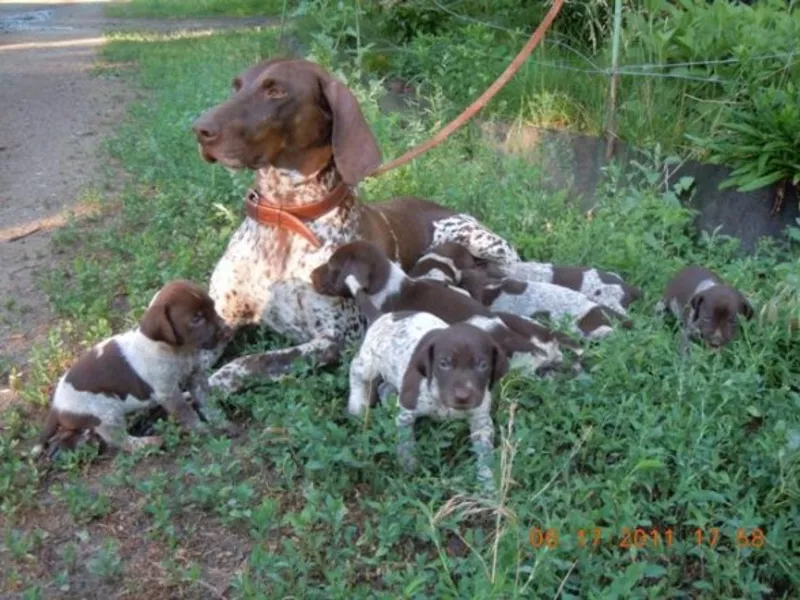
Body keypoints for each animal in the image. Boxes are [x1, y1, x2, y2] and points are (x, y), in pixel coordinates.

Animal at [348, 312, 510, 490]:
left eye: (483, 365)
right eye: (444, 364)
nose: (462, 396)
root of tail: (390, 314)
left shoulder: (481, 421)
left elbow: (485, 453)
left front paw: (488, 482)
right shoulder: (406, 410)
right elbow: (406, 443)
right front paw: (409, 468)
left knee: (383, 387)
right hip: (369, 362)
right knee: (356, 371)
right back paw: (356, 406)